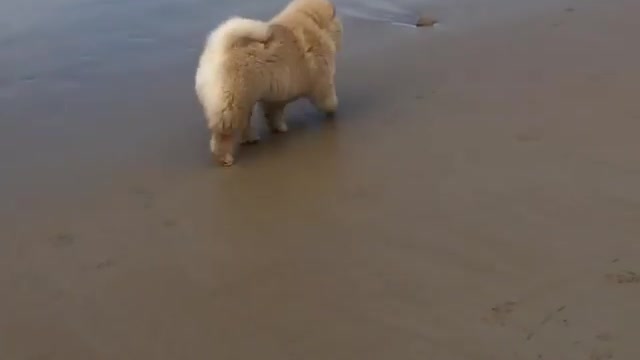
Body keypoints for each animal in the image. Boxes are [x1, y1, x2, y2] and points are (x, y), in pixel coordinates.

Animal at [195, 0, 344, 166]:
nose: (340, 25)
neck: (314, 23)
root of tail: (219, 49)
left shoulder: (276, 93)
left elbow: (274, 113)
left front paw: (279, 128)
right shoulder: (323, 79)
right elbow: (329, 99)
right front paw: (332, 110)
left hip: (247, 98)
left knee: (244, 122)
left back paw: (251, 138)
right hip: (234, 102)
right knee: (224, 134)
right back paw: (225, 157)